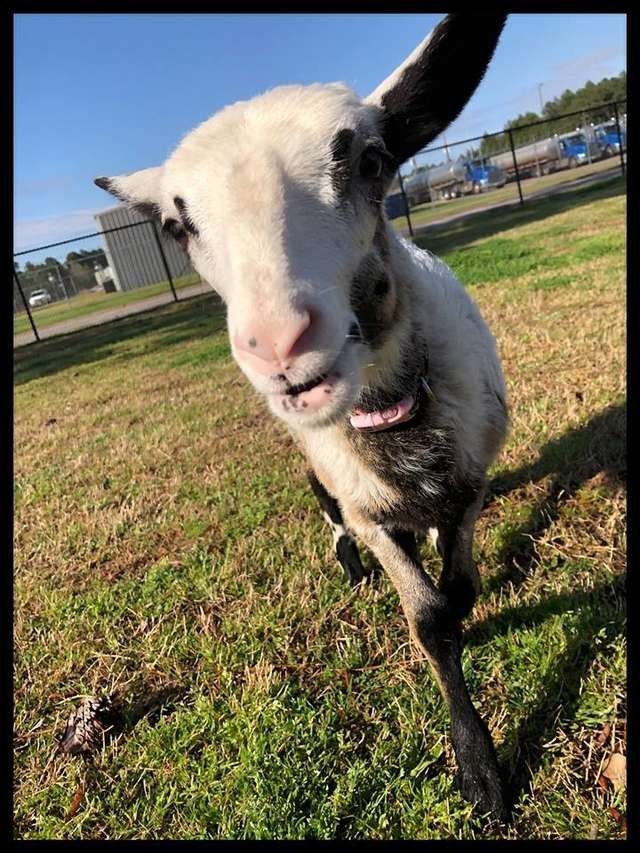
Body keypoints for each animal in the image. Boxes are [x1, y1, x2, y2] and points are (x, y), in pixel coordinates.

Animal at [95, 13, 510, 821]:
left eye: (373, 160)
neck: (396, 426)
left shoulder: (471, 483)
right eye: (176, 227)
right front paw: (480, 769)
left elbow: (458, 592)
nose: (280, 343)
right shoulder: (366, 506)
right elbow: (429, 619)